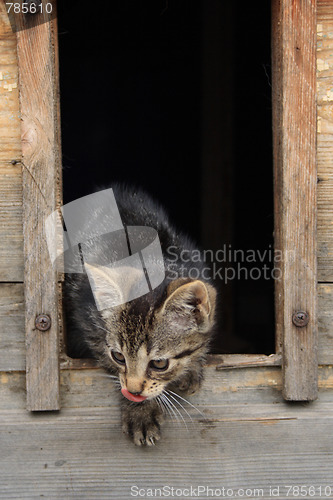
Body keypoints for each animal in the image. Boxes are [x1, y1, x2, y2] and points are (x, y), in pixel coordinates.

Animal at [65, 186, 217, 448]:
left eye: (159, 363)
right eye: (118, 357)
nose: (134, 391)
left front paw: (192, 367)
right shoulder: (89, 323)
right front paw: (140, 412)